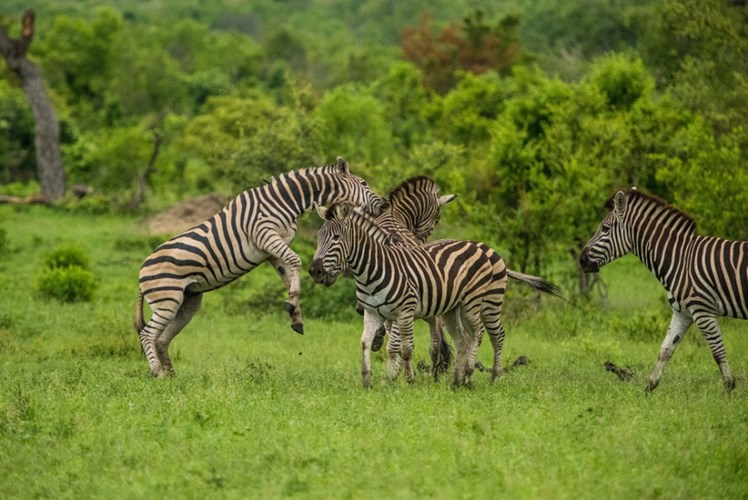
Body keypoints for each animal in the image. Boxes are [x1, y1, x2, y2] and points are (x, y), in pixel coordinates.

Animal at [134, 158, 388, 376]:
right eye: (364, 183)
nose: (385, 204)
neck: (285, 200)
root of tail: (142, 270)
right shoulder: (265, 235)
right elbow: (296, 261)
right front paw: (293, 304)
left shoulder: (272, 250)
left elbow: (287, 274)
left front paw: (294, 312)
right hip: (167, 300)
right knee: (147, 334)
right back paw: (157, 373)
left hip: (187, 302)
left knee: (161, 338)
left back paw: (170, 374)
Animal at [308, 201, 560, 388]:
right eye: (318, 237)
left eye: (336, 238)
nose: (315, 271)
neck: (374, 268)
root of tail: (489, 249)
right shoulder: (374, 313)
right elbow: (365, 343)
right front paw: (368, 380)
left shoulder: (403, 312)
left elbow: (402, 348)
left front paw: (403, 379)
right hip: (452, 309)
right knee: (463, 338)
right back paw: (458, 379)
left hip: (485, 304)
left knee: (492, 334)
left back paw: (489, 377)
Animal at [580, 189, 744, 392]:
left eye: (605, 229)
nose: (581, 260)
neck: (681, 259)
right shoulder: (683, 312)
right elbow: (665, 350)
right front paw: (648, 389)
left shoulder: (703, 310)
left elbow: (718, 352)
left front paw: (729, 390)